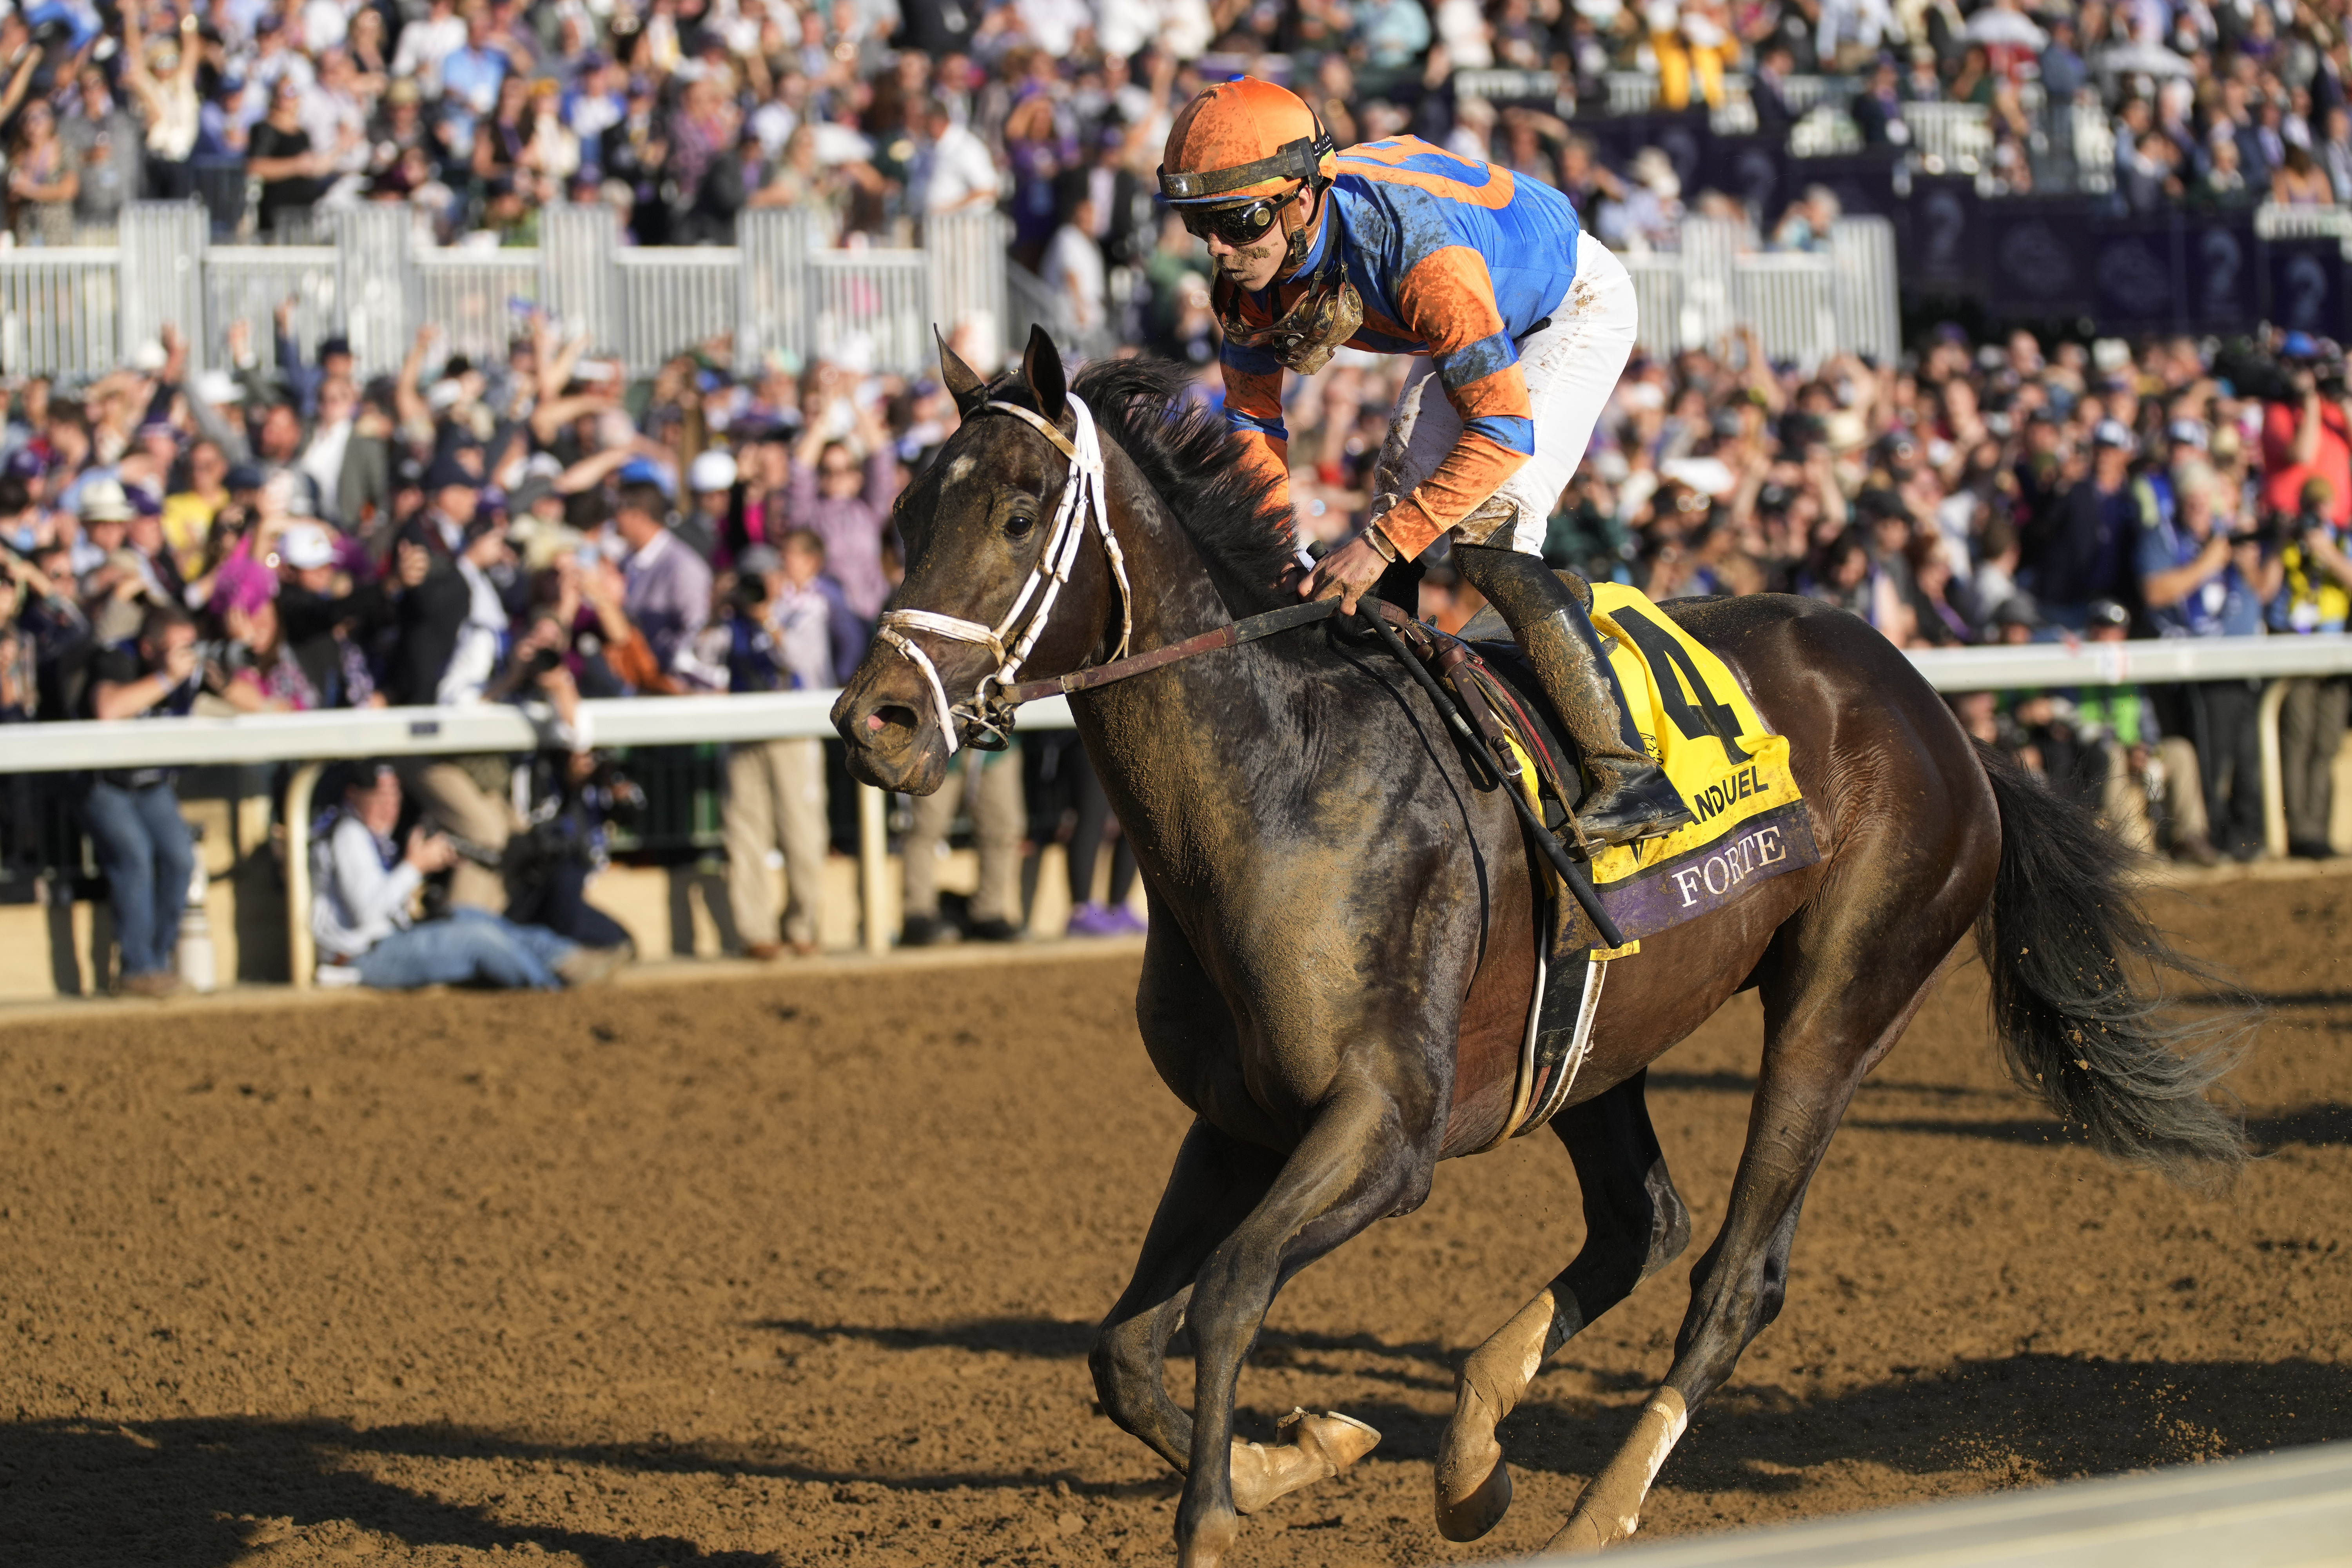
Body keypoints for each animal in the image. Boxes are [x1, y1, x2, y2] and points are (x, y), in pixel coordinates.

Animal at [831, 329, 2246, 1565]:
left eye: (1021, 513)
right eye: (901, 511)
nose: (876, 721)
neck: (1281, 783)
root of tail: (1938, 711)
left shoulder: (1388, 1131)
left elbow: (1229, 1292)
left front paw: (1228, 1511)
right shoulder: (1237, 1120)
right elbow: (1123, 1351)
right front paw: (1305, 1454)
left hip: (1844, 1000)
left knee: (1736, 1275)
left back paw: (1593, 1515)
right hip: (1597, 1037)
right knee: (1642, 1224)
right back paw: (1472, 1453)